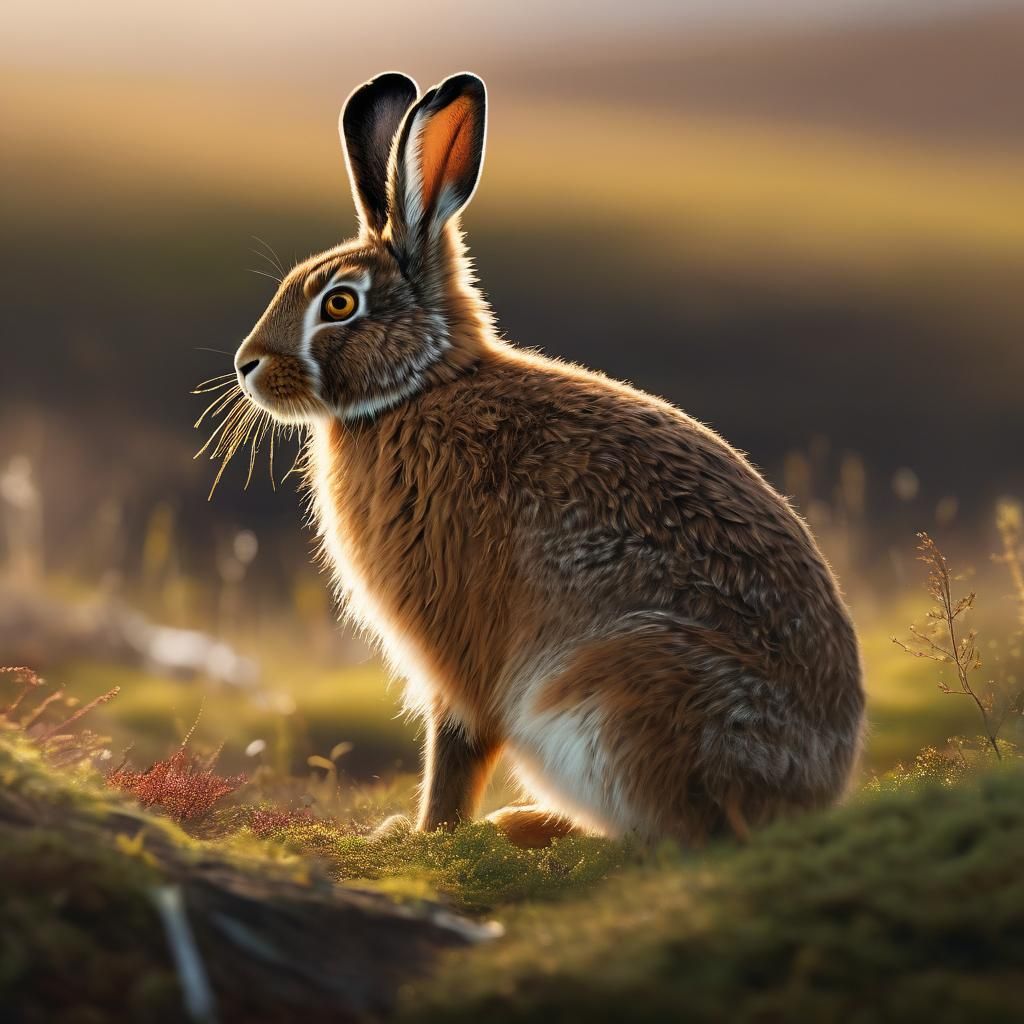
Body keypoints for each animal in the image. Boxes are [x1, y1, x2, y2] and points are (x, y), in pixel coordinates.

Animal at [231, 71, 865, 847]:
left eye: (340, 304)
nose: (247, 366)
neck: (420, 386)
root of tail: (808, 790)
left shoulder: (460, 639)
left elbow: (458, 741)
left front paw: (420, 834)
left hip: (615, 691)